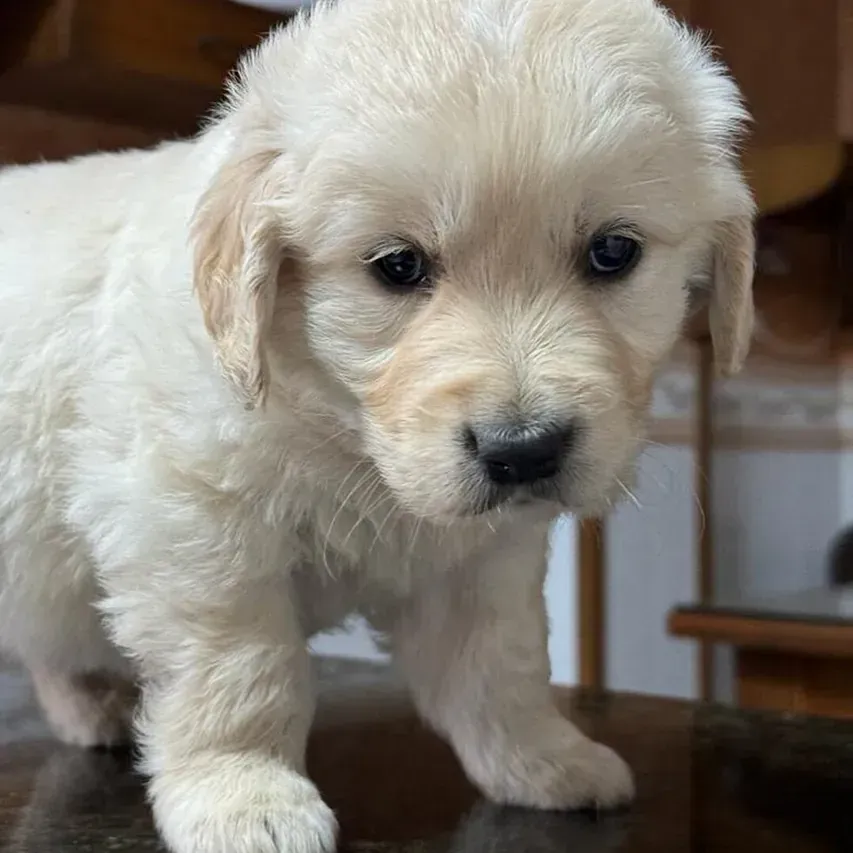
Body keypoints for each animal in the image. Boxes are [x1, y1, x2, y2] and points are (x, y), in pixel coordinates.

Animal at [0, 0, 752, 848]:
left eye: (612, 252)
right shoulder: (192, 525)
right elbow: (241, 670)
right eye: (397, 266)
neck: (340, 429)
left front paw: (542, 759)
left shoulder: (484, 554)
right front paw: (246, 797)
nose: (523, 452)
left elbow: (503, 664)